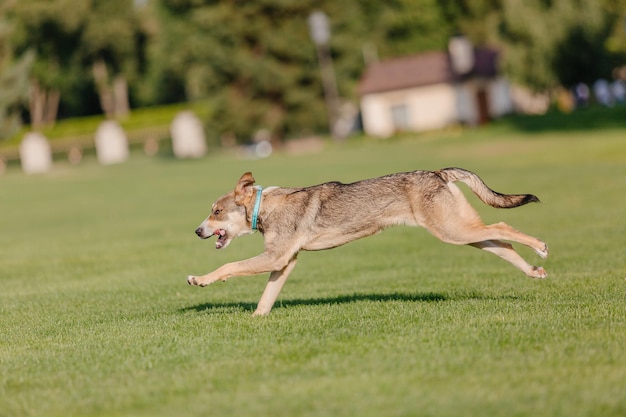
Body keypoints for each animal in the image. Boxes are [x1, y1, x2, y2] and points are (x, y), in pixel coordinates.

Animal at [186, 167, 544, 314]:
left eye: (216, 212)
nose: (197, 231)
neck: (265, 206)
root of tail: (439, 173)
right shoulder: (284, 262)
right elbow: (265, 299)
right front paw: (255, 321)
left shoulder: (275, 257)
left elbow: (229, 266)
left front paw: (199, 279)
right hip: (459, 230)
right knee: (501, 243)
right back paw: (534, 271)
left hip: (453, 230)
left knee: (503, 226)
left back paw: (541, 246)